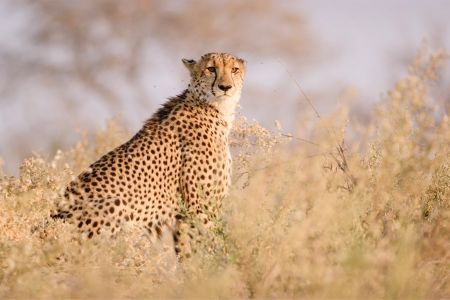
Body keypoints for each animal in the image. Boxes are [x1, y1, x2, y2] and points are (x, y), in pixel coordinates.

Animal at [52, 51, 246, 258]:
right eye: (211, 69)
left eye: (234, 69)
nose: (225, 87)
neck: (212, 107)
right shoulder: (199, 207)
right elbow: (210, 248)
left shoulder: (183, 216)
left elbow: (186, 252)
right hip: (115, 206)